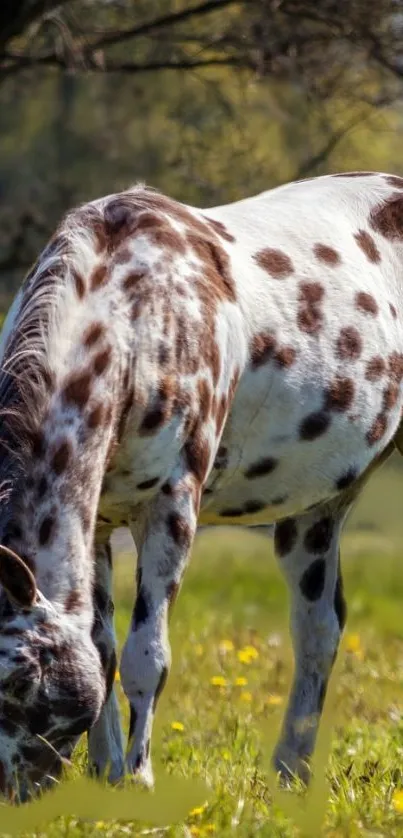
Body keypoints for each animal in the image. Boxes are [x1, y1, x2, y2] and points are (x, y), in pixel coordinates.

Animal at [0, 172, 403, 800]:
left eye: (20, 682)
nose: (11, 794)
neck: (137, 314)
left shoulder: (171, 509)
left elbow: (146, 657)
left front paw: (138, 778)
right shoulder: (99, 522)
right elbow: (101, 649)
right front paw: (106, 773)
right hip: (313, 514)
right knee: (318, 631)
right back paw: (290, 775)